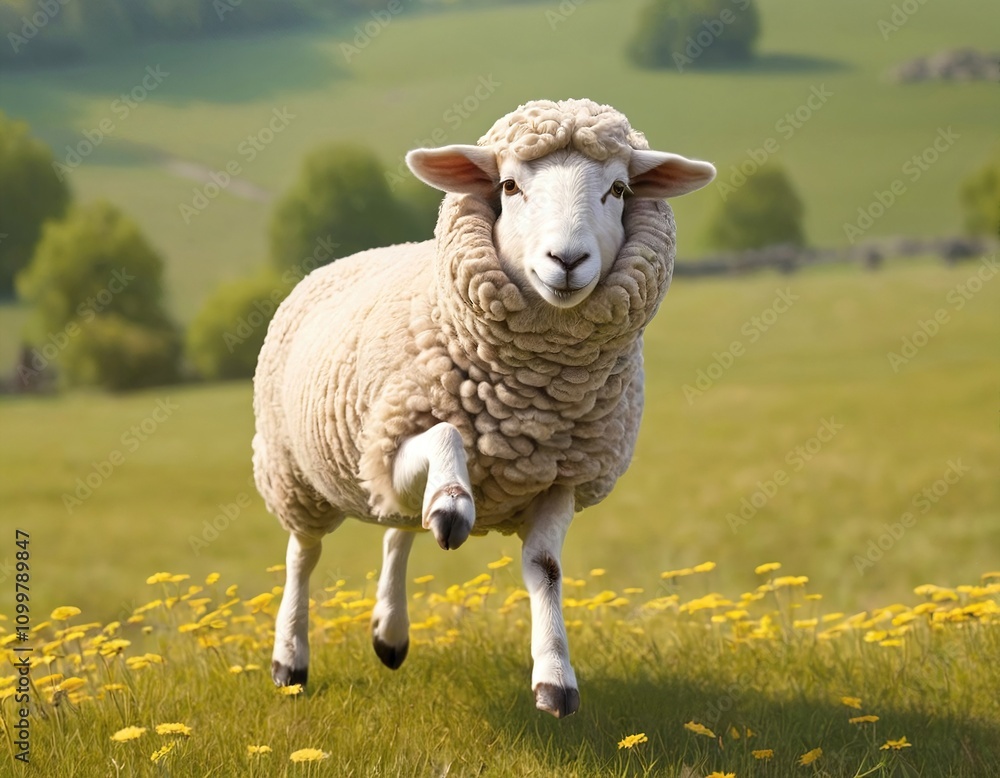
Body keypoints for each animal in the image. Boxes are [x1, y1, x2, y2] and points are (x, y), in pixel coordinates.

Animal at [252, 98, 715, 717]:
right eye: (509, 185)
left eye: (618, 189)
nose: (567, 259)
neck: (528, 404)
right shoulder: (388, 443)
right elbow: (447, 434)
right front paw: (454, 501)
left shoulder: (563, 475)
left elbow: (545, 569)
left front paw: (555, 677)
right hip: (293, 469)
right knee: (303, 555)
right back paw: (290, 658)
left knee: (398, 529)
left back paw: (390, 632)